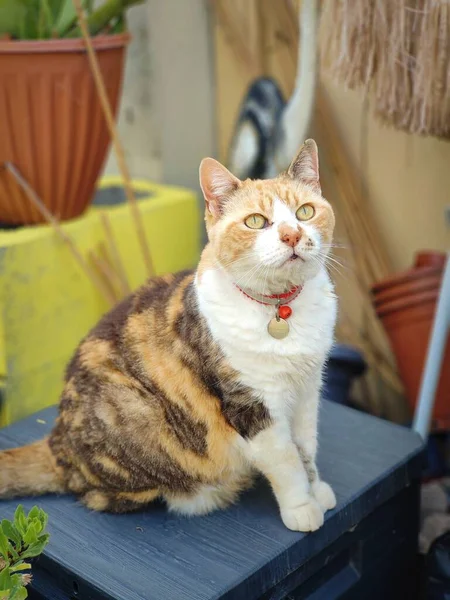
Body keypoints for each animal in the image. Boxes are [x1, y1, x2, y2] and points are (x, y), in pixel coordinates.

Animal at [0, 142, 336, 536]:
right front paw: (302, 507)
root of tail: (57, 441)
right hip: (136, 415)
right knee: (101, 495)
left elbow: (307, 447)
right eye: (256, 221)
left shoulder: (308, 389)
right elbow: (286, 460)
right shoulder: (250, 404)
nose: (292, 235)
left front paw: (318, 490)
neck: (282, 310)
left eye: (305, 211)